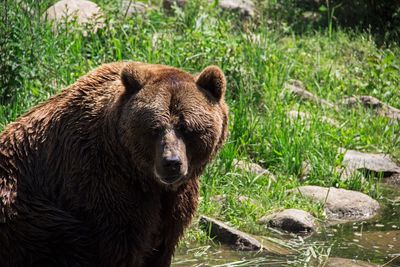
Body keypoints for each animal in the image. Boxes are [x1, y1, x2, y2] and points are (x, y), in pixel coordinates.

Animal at [0, 62, 228, 267]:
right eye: (154, 128)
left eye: (186, 127)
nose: (171, 163)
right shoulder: (103, 185)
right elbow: (118, 246)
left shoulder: (175, 202)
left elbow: (162, 246)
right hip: (31, 217)